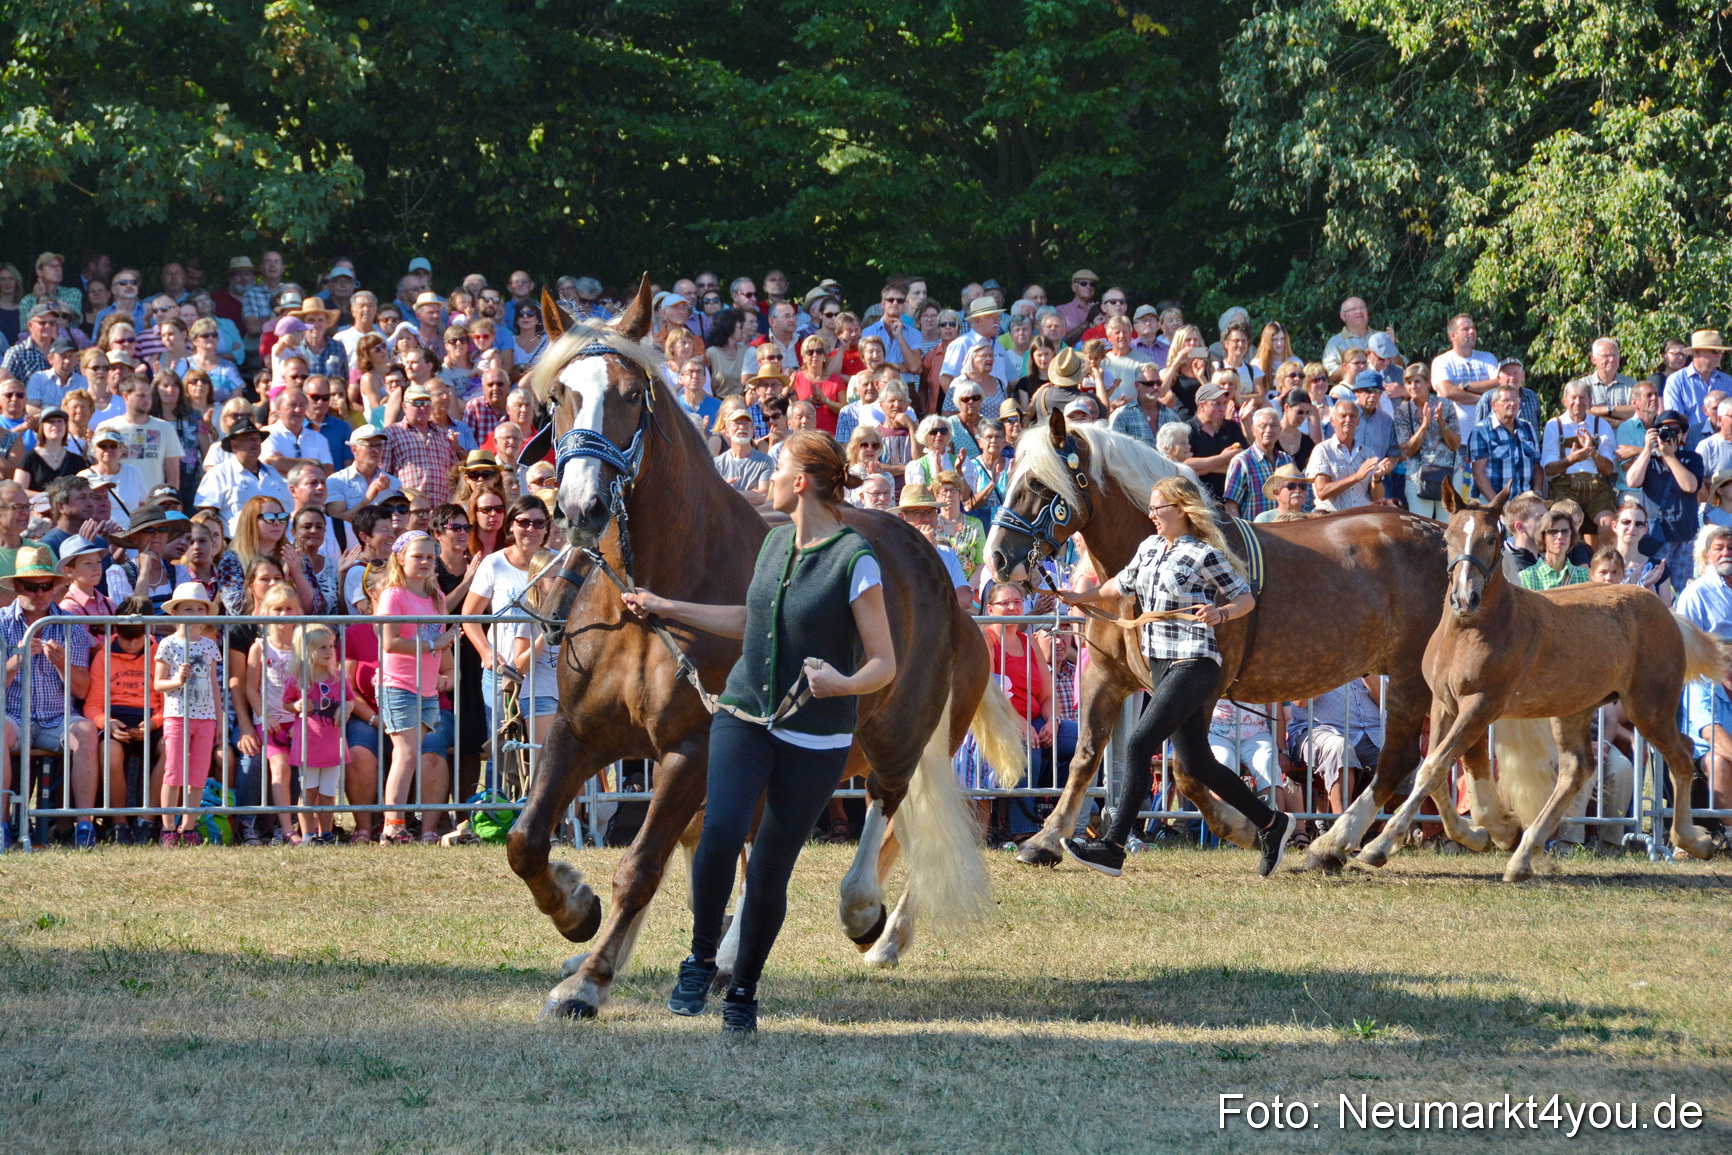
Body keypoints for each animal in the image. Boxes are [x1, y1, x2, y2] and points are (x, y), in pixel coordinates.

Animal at [506, 277, 1024, 1018]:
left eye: (630, 394)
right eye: (559, 397)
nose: (581, 508)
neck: (655, 596)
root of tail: (940, 573)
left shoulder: (692, 750)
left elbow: (641, 864)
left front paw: (589, 979)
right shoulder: (578, 732)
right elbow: (526, 840)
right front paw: (577, 911)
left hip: (896, 732)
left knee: (888, 806)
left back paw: (868, 916)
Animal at [984, 411, 1493, 869]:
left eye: (1038, 485)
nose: (997, 558)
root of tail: (1450, 544)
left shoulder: (1200, 687)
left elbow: (1189, 770)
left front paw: (1249, 829)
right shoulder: (1109, 677)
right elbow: (1089, 757)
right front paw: (1045, 841)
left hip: (1409, 677)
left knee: (1405, 757)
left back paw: (1337, 844)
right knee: (1439, 754)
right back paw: (1461, 831)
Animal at [1352, 485, 1726, 881]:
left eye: (1491, 538)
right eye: (1448, 538)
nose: (1464, 598)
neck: (1472, 630)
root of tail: (1665, 610)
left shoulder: (1481, 705)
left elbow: (1433, 768)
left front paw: (1378, 846)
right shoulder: (1443, 703)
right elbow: (1435, 772)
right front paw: (1480, 834)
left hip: (1648, 706)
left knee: (1681, 755)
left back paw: (1693, 840)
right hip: (1576, 709)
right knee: (1578, 769)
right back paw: (1523, 856)